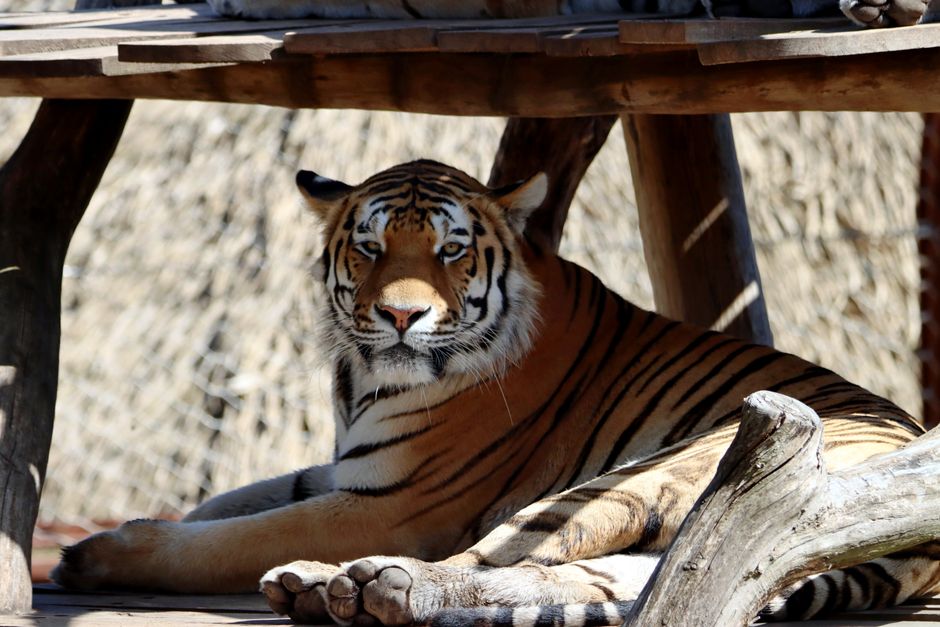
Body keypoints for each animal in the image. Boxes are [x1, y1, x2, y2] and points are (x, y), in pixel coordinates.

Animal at [51, 160, 940, 625]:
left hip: (659, 469)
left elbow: (227, 537)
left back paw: (356, 584)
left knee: (487, 557)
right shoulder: (344, 467)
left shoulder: (395, 503)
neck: (361, 375)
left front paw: (98, 553)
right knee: (631, 578)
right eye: (371, 247)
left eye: (450, 251)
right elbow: (222, 504)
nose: (401, 314)